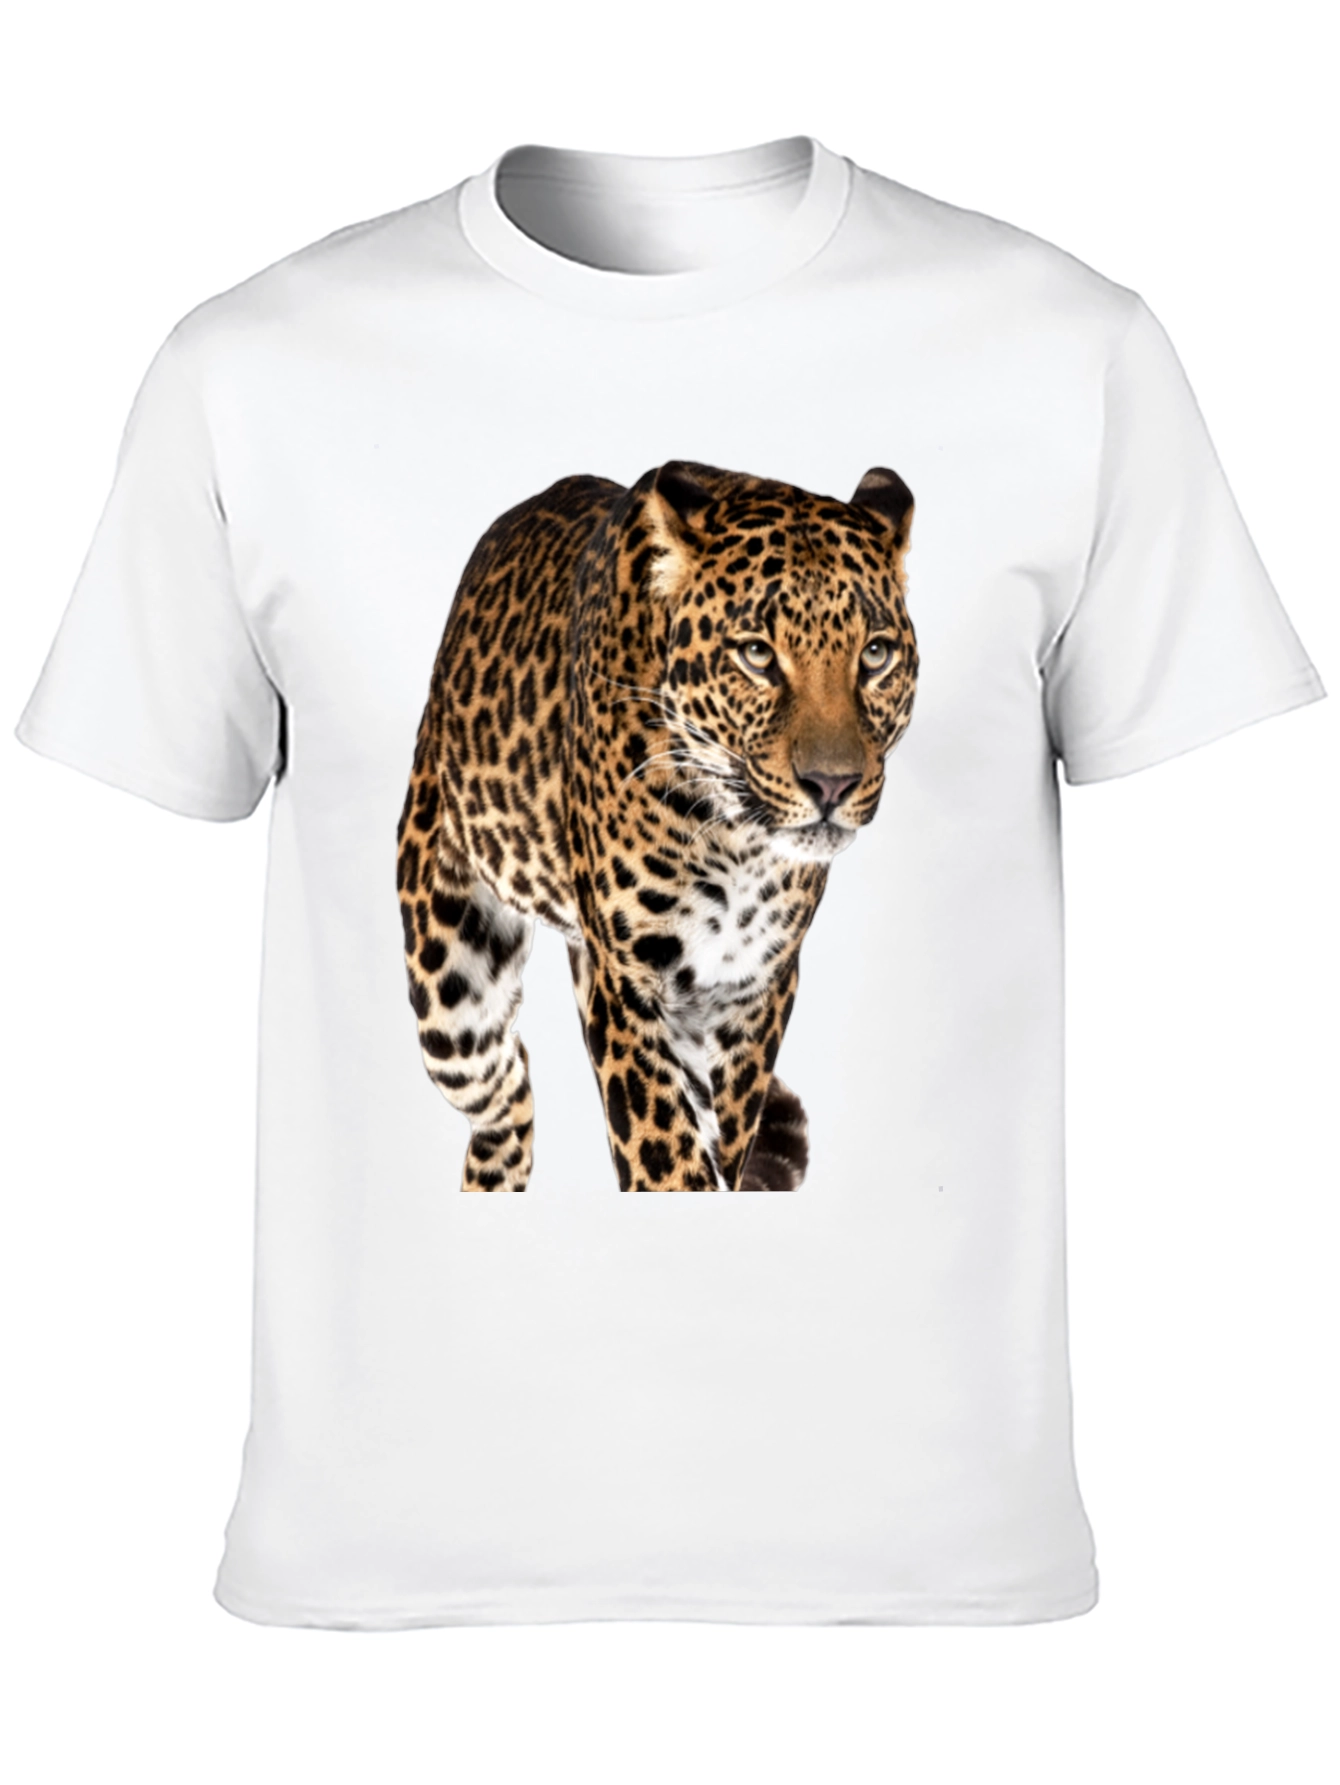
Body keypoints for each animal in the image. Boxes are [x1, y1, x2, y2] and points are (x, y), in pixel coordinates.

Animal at [396, 458, 918, 1193]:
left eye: (874, 655)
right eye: (757, 654)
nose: (832, 784)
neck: (736, 840)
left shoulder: (756, 988)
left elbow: (727, 1135)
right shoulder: (626, 983)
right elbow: (664, 1154)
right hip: (451, 991)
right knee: (504, 1094)